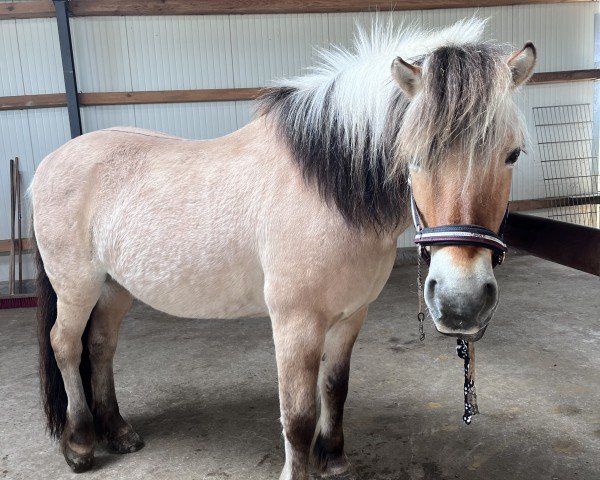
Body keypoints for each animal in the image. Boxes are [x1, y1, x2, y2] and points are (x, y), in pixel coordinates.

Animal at [30, 19, 536, 480]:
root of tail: (48, 163)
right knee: (66, 345)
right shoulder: (296, 324)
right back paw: (80, 445)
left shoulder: (350, 316)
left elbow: (335, 388)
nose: (460, 302)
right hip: (77, 286)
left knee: (101, 345)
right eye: (411, 155)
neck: (326, 192)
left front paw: (334, 460)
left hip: (114, 287)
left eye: (513, 154)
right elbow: (298, 415)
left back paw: (117, 430)